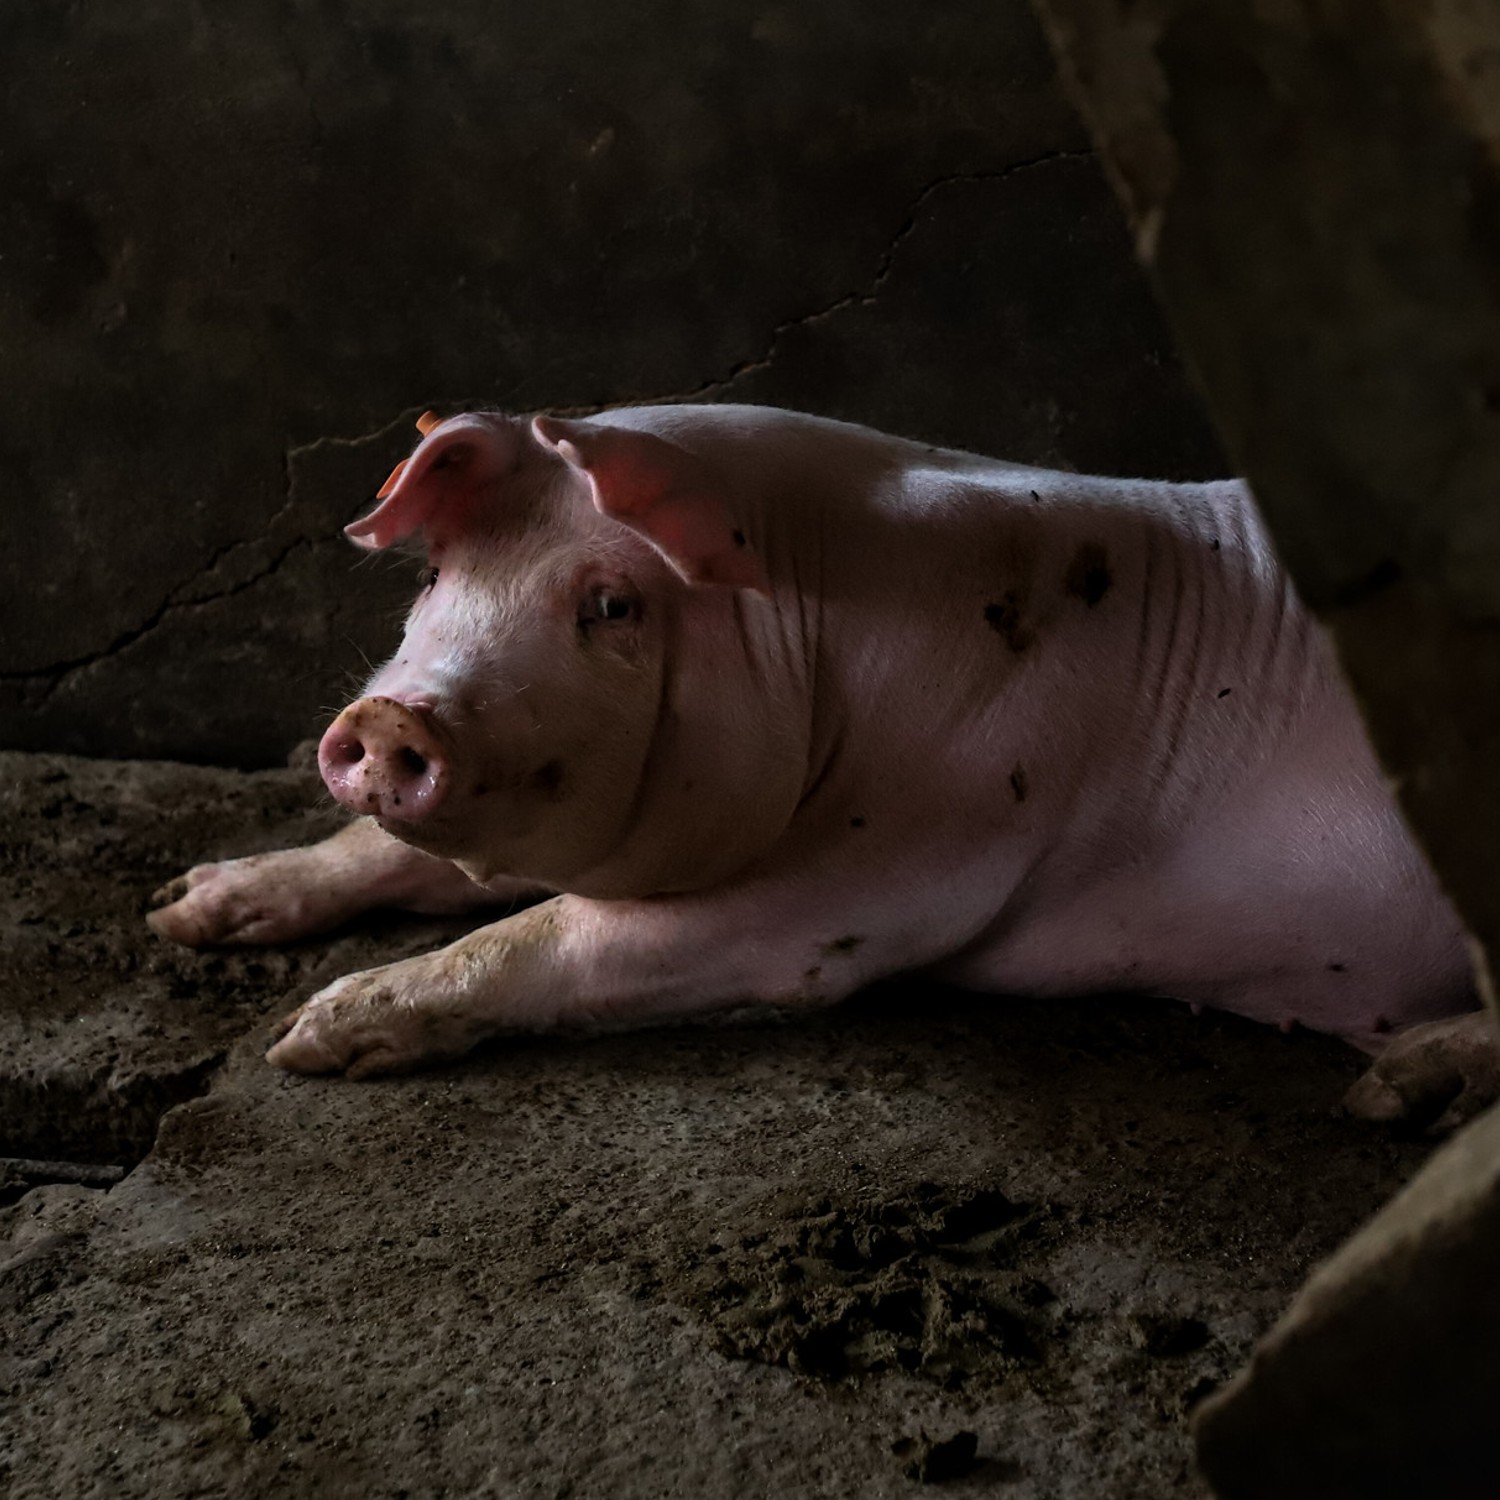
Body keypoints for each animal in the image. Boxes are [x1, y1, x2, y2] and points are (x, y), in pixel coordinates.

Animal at [146, 405, 1494, 1122]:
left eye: (613, 605)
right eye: (436, 575)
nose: (392, 717)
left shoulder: (882, 880)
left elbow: (552, 933)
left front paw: (308, 1039)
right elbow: (389, 854)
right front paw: (183, 909)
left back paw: (1390, 1090)